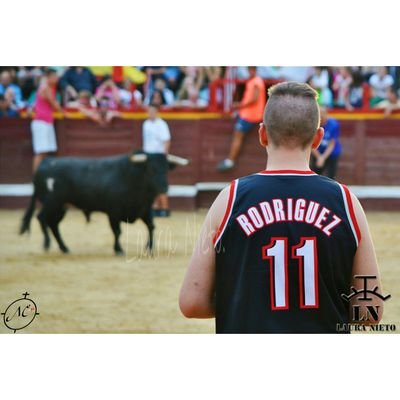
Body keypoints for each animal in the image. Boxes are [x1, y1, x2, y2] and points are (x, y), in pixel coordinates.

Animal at [19, 152, 191, 255]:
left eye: (166, 169)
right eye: (151, 169)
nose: (164, 187)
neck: (133, 177)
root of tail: (44, 163)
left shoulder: (144, 209)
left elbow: (151, 226)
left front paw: (149, 248)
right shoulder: (113, 212)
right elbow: (117, 231)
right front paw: (119, 250)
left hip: (62, 206)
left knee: (53, 224)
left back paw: (64, 247)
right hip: (52, 203)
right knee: (42, 218)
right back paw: (47, 244)